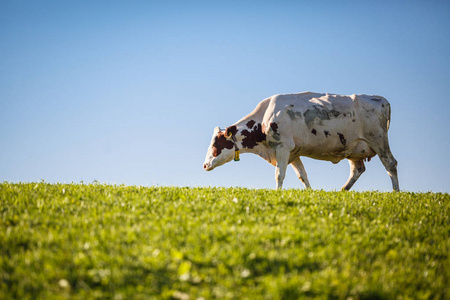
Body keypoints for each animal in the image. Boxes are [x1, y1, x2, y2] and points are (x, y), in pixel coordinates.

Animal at [202, 91, 400, 192]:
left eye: (216, 143)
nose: (204, 165)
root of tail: (381, 99)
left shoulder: (282, 147)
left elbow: (279, 174)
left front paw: (278, 193)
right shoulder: (293, 153)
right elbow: (302, 175)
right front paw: (310, 193)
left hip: (378, 140)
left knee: (390, 164)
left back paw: (396, 193)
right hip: (354, 149)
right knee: (357, 170)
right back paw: (342, 190)